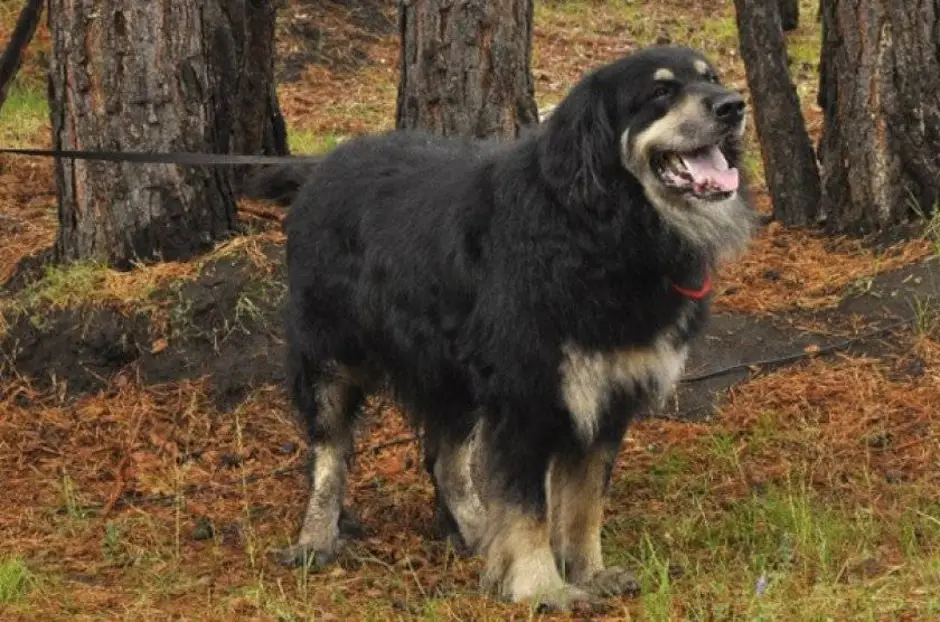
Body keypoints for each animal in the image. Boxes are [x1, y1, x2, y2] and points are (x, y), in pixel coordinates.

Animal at [248, 46, 756, 612]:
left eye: (711, 77)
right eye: (662, 91)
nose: (734, 106)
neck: (596, 228)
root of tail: (320, 167)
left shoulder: (605, 401)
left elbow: (583, 506)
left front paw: (587, 572)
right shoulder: (526, 399)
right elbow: (528, 507)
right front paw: (541, 586)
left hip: (451, 376)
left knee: (446, 462)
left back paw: (478, 534)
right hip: (331, 360)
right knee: (330, 454)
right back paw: (315, 537)